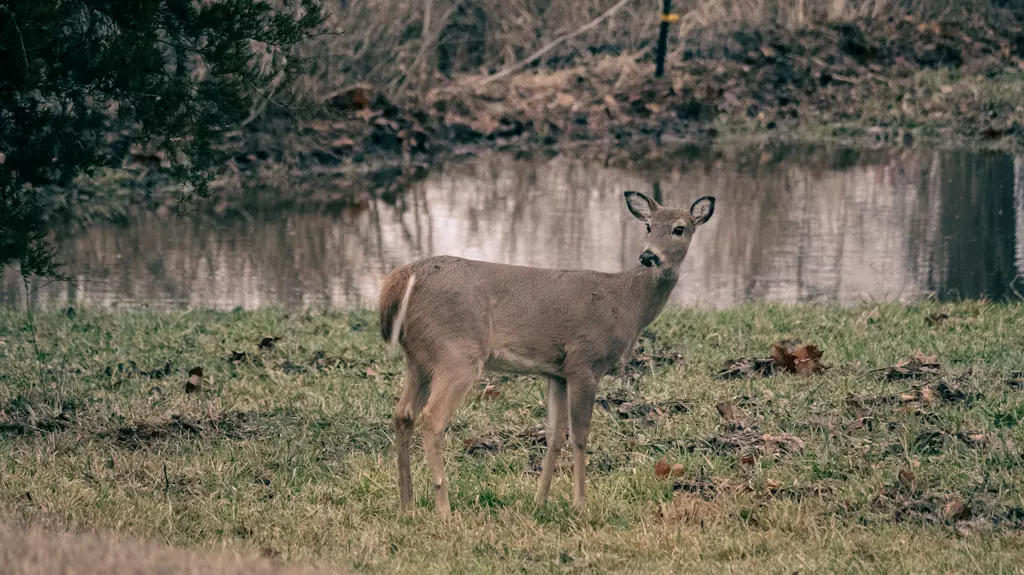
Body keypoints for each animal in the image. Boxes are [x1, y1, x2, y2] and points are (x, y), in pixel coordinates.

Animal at [376, 189, 712, 515]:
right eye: (648, 226)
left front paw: (540, 501)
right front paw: (580, 504)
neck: (625, 303)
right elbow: (580, 436)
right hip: (457, 353)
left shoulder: (556, 372)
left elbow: (554, 434)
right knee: (432, 418)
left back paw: (406, 507)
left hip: (420, 359)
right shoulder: (584, 361)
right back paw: (444, 510)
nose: (648, 256)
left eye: (679, 229)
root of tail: (405, 277)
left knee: (403, 414)